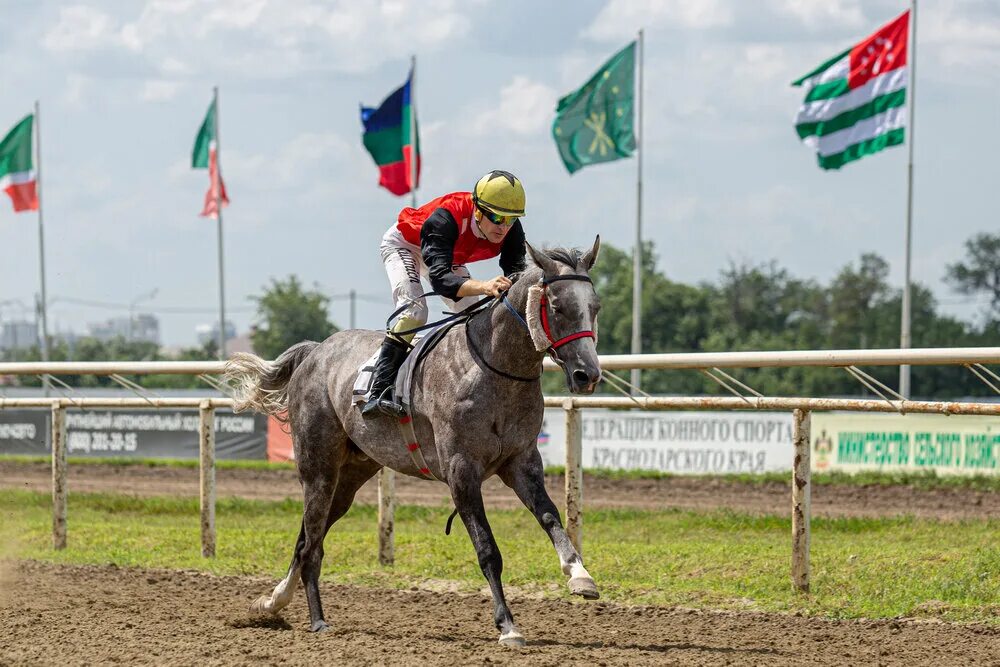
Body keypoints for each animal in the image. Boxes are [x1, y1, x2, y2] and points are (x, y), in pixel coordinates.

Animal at [227, 236, 600, 648]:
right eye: (557, 307)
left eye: (594, 307)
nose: (587, 374)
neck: (494, 369)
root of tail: (316, 351)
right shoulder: (461, 470)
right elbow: (487, 549)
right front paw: (508, 625)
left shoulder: (521, 461)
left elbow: (550, 517)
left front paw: (580, 576)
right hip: (318, 467)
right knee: (311, 542)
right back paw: (317, 619)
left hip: (352, 474)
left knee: (309, 536)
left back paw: (273, 603)